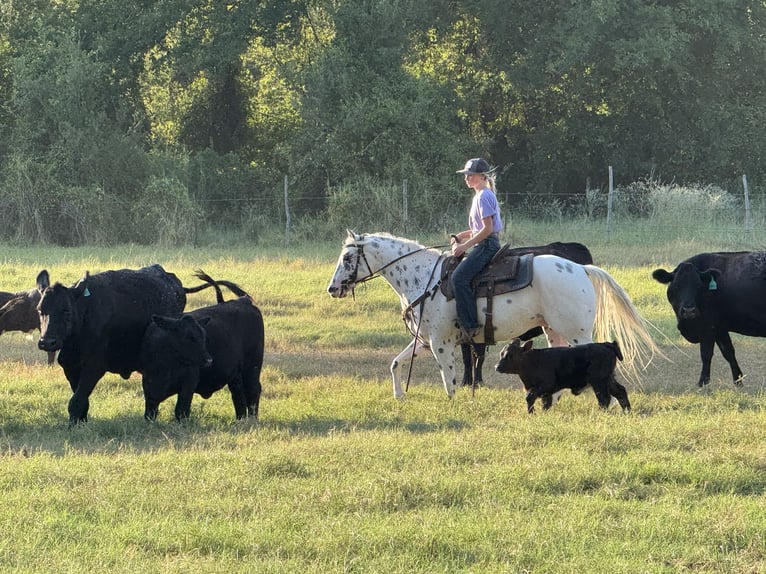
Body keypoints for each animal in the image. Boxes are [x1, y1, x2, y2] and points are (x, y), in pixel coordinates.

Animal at [327, 230, 658, 399]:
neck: (424, 279)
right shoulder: (424, 340)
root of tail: (580, 268)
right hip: (554, 330)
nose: (332, 288)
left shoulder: (442, 343)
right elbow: (396, 363)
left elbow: (450, 381)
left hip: (578, 333)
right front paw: (399, 395)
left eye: (348, 257)